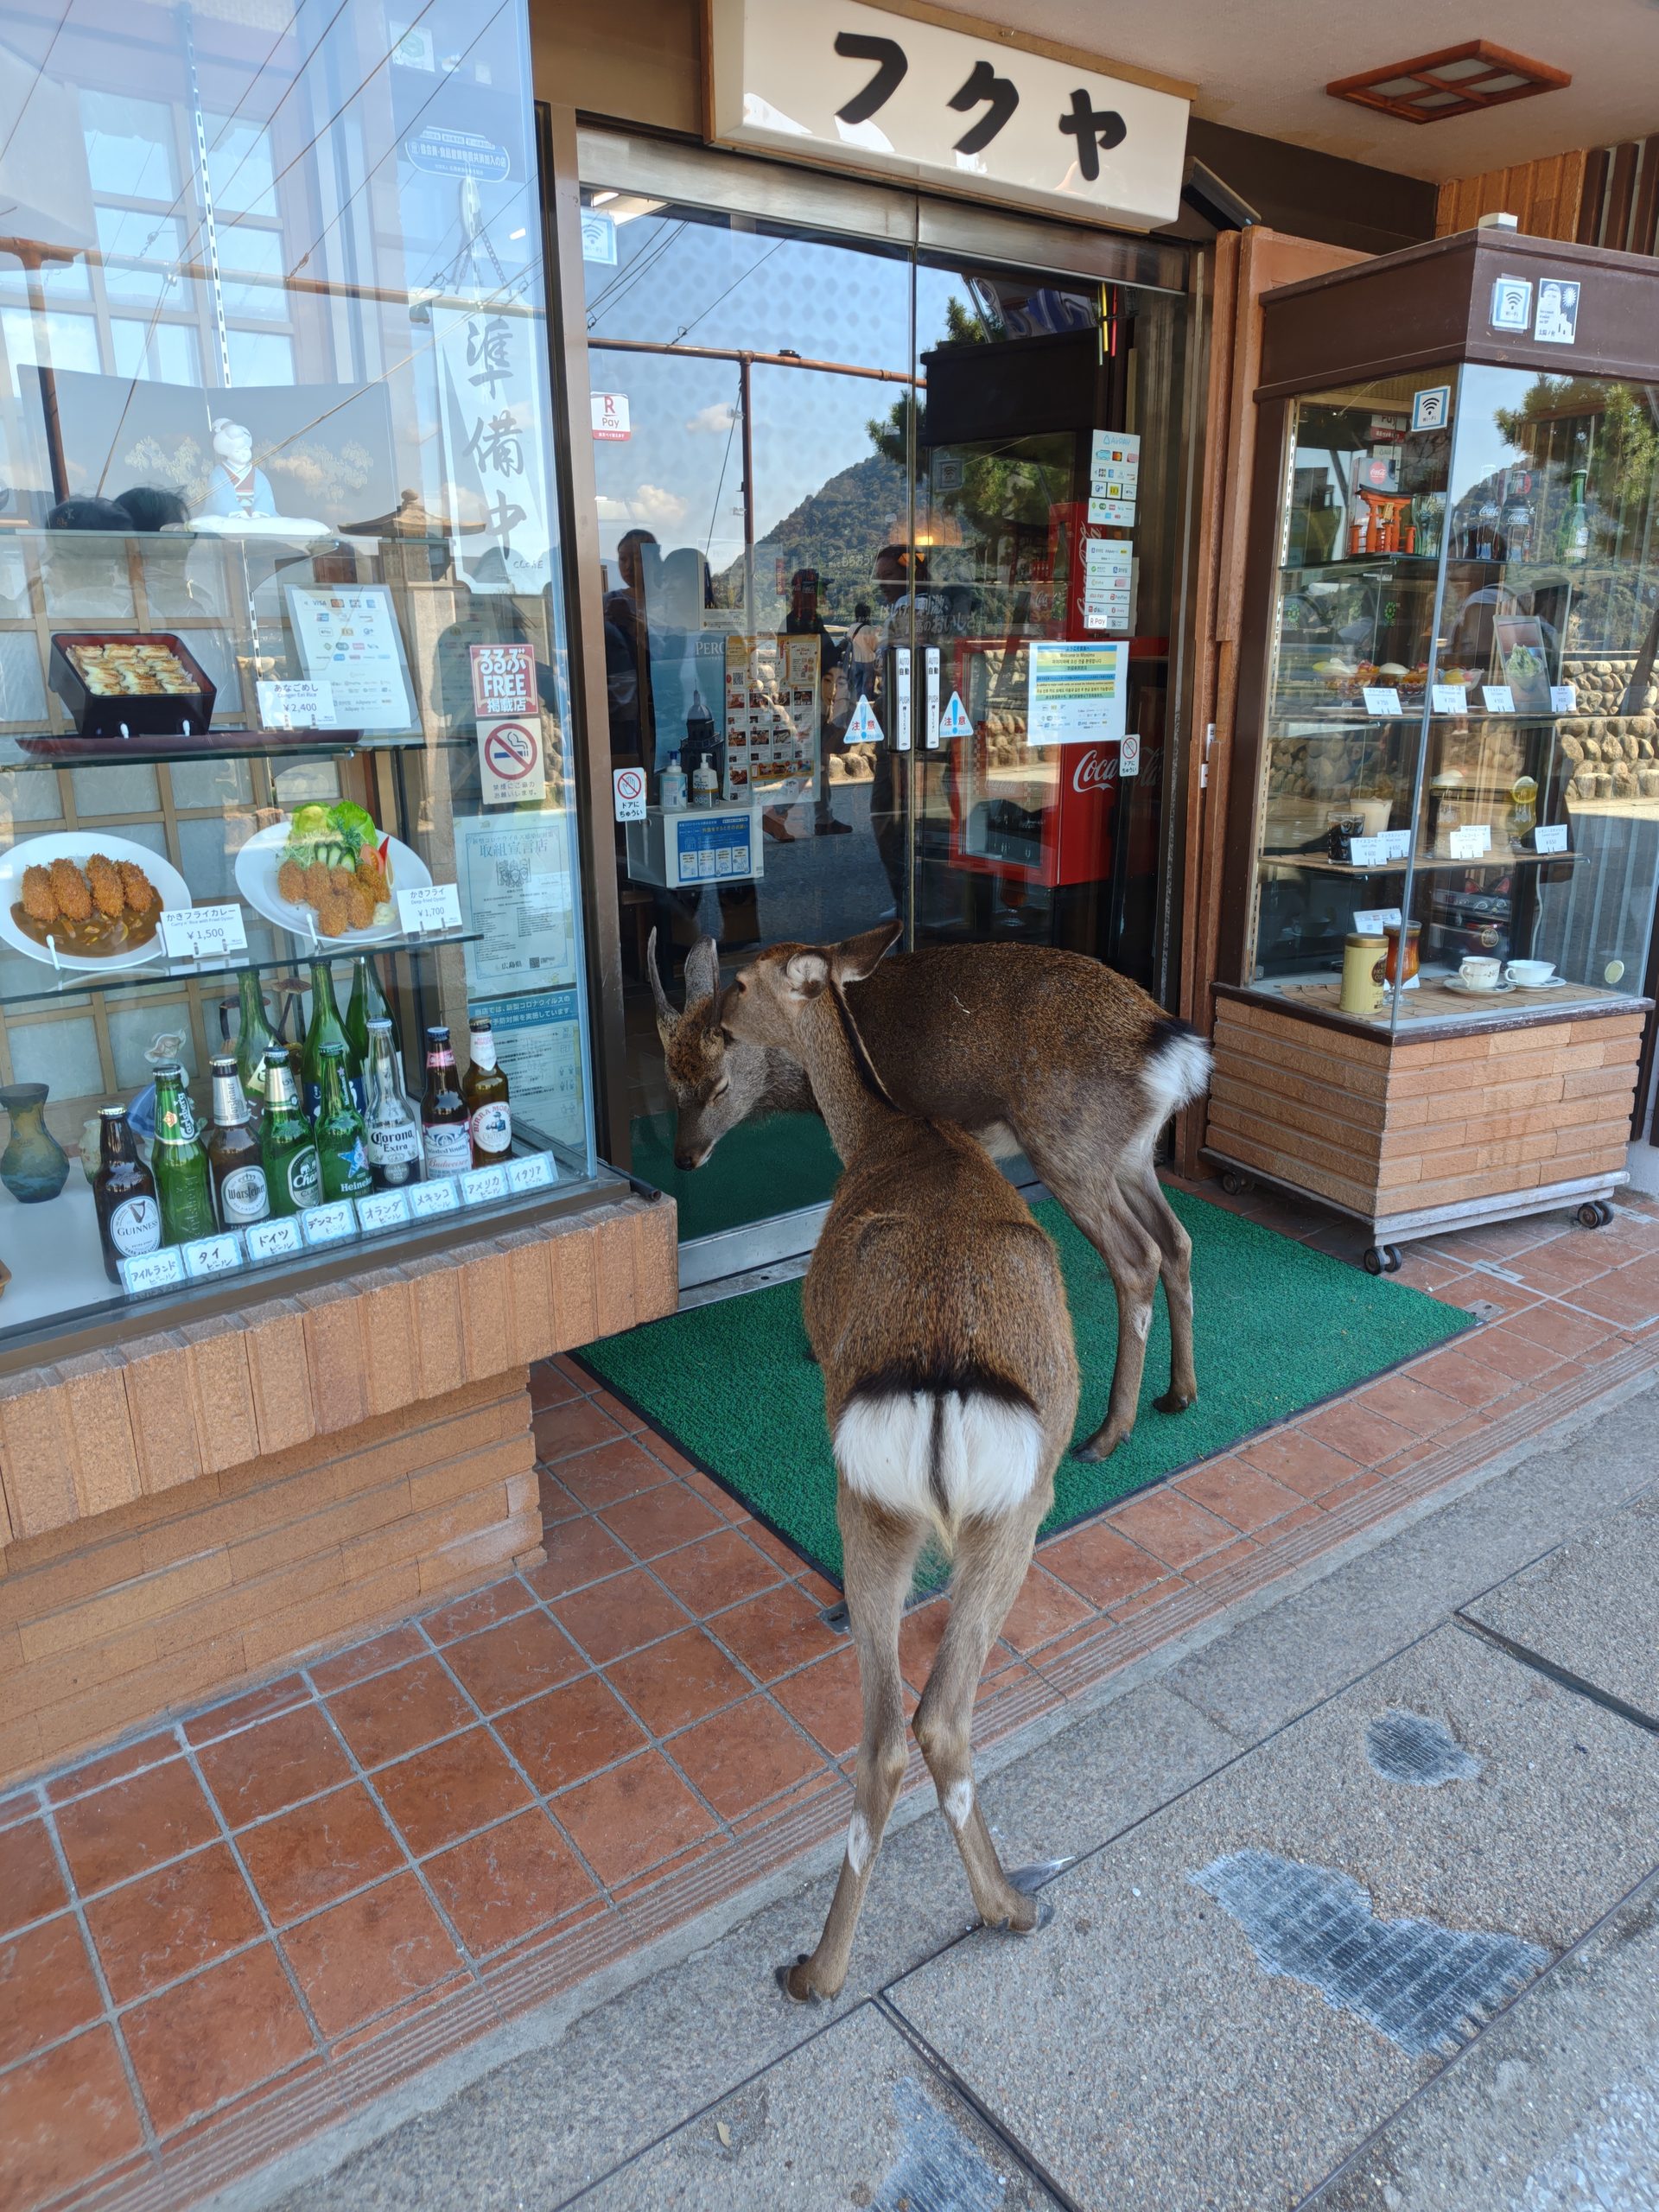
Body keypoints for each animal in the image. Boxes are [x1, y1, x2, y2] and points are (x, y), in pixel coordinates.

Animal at [649, 929, 1211, 1461]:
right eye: (670, 1080)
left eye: (720, 1086)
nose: (683, 1158)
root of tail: (1174, 1053)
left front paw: (819, 1346)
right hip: (1133, 1154)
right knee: (1178, 1239)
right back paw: (1179, 1393)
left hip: (1071, 1150)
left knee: (1138, 1256)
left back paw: (1107, 1433)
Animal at [721, 924, 1079, 2001]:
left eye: (742, 978)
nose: (713, 1021)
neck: (885, 1131)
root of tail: (943, 1375)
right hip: (1016, 1507)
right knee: (936, 1720)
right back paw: (1004, 1906)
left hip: (877, 1501)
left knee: (894, 1728)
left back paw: (818, 1969)